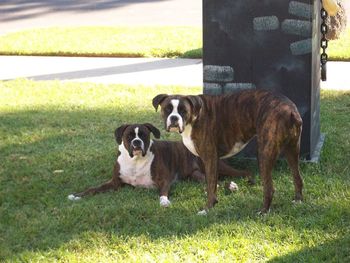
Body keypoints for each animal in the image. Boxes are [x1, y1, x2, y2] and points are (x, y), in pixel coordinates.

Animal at [153, 90, 304, 214]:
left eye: (183, 110)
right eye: (167, 109)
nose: (174, 118)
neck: (195, 114)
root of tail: (290, 110)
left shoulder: (210, 158)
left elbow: (211, 185)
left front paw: (207, 209)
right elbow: (211, 184)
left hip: (265, 154)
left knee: (269, 188)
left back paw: (263, 212)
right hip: (292, 151)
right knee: (297, 178)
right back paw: (298, 201)